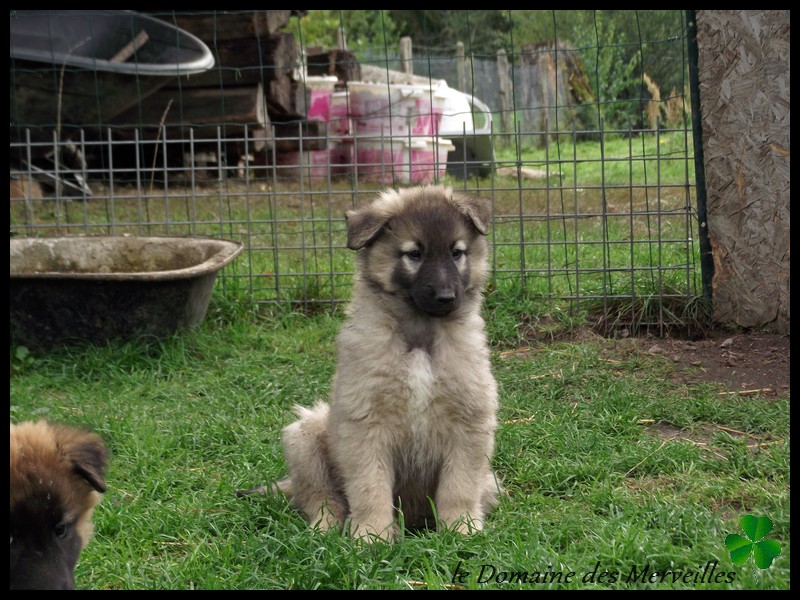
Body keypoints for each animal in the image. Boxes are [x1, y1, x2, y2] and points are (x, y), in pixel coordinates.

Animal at [262, 185, 500, 540]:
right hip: (305, 436)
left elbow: (459, 485)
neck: (419, 332)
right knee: (320, 496)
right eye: (414, 254)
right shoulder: (365, 422)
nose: (446, 298)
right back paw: (325, 526)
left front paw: (461, 528)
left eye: (457, 252)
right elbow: (369, 486)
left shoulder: (470, 419)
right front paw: (371, 535)